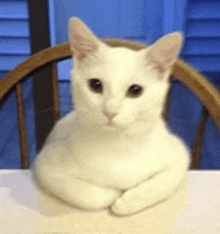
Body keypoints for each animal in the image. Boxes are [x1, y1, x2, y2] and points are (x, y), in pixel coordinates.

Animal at [33, 17, 191, 217]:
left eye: (135, 90)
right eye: (95, 84)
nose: (110, 110)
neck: (118, 144)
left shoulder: (178, 153)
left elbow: (162, 183)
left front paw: (127, 201)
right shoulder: (45, 164)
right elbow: (90, 197)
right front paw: (114, 193)